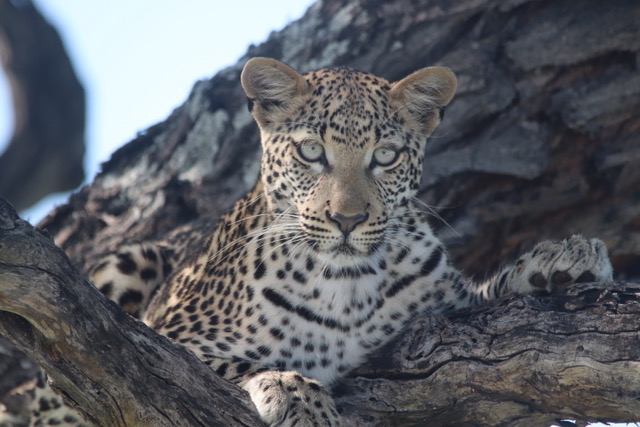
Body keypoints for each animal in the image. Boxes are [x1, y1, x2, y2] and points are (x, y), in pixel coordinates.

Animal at [17, 57, 612, 427]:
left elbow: (488, 292)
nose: (347, 219)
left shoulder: (449, 307)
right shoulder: (168, 339)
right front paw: (297, 392)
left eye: (385, 156)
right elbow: (219, 365)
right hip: (126, 265)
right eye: (310, 152)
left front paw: (561, 260)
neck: (345, 280)